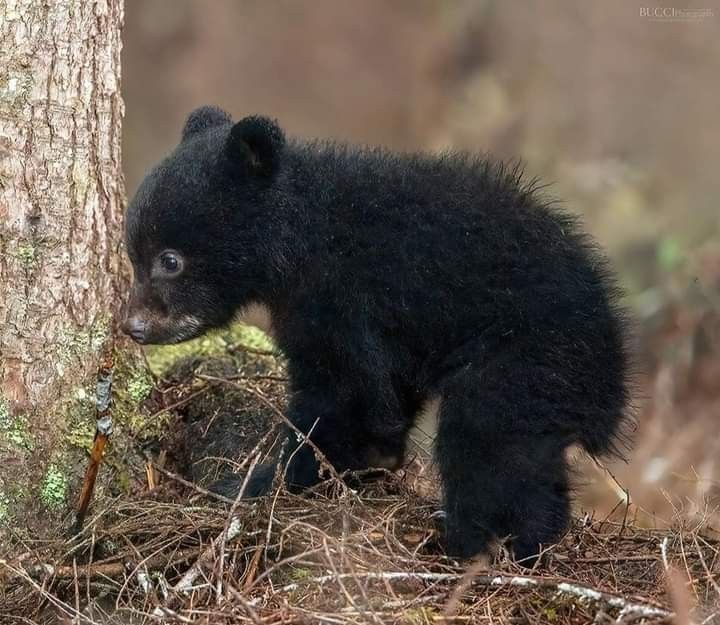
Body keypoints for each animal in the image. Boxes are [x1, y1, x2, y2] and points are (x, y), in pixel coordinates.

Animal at [123, 105, 632, 562]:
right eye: (133, 254)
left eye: (170, 260)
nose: (134, 326)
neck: (297, 238)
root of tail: (613, 380)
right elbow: (384, 398)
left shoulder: (337, 297)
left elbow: (343, 392)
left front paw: (264, 480)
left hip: (526, 360)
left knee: (488, 446)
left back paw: (474, 545)